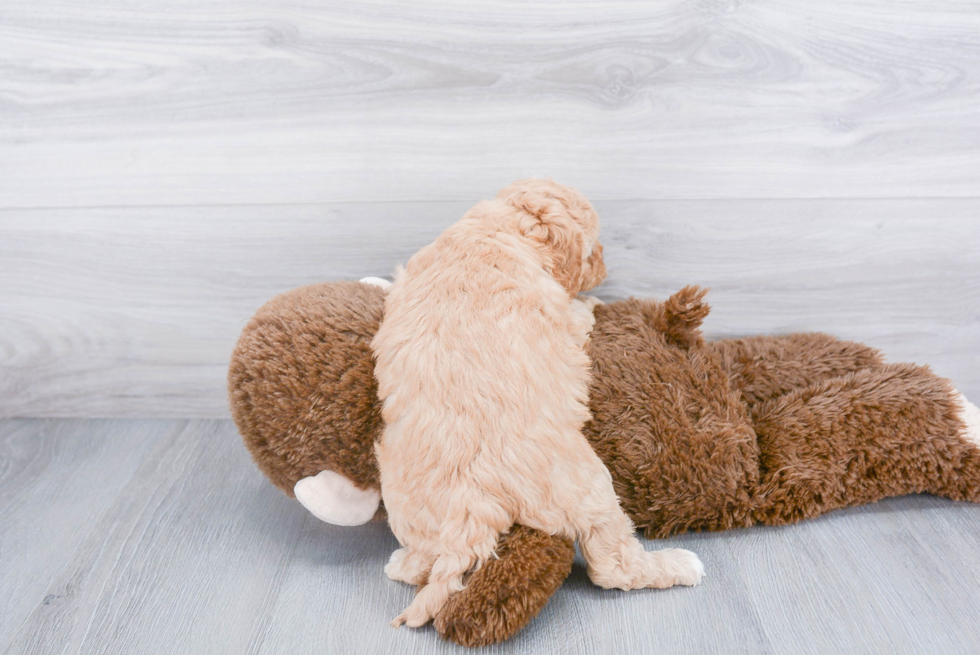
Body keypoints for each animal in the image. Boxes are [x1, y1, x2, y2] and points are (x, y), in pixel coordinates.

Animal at [372, 179, 700, 632]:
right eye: (592, 249)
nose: (604, 266)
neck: (501, 226)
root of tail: (472, 507)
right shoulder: (563, 317)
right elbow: (580, 313)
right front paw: (594, 303)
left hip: (406, 504)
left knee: (425, 560)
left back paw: (401, 563)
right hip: (590, 489)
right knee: (612, 567)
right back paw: (679, 565)